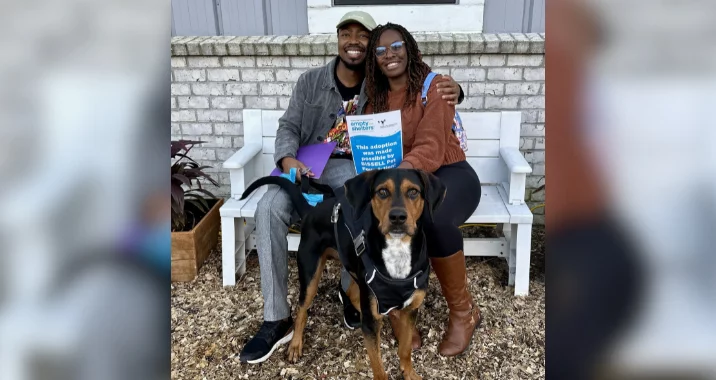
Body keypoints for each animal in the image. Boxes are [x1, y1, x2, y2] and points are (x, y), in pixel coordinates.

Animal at [238, 169, 444, 380]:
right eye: (382, 191)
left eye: (413, 192)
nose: (397, 217)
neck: (397, 250)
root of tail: (312, 210)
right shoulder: (371, 324)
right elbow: (378, 367)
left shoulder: (411, 310)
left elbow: (405, 348)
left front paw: (409, 372)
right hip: (310, 274)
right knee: (302, 309)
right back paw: (295, 344)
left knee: (352, 293)